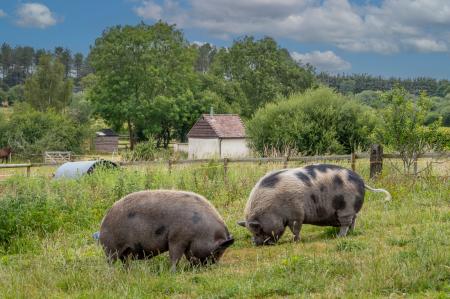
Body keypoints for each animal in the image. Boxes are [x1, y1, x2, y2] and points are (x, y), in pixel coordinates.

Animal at [239, 164, 390, 246]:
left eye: (258, 229)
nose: (255, 243)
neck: (271, 208)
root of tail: (361, 180)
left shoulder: (296, 214)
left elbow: (296, 229)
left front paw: (295, 241)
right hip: (351, 210)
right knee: (353, 221)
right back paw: (350, 233)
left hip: (346, 208)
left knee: (346, 223)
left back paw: (339, 236)